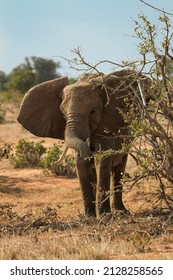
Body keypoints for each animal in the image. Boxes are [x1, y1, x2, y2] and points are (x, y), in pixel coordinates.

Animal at [17, 69, 149, 217]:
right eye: (62, 113)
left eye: (93, 111)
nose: (88, 150)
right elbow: (81, 164)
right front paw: (89, 217)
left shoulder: (107, 124)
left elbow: (102, 160)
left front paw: (104, 216)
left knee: (119, 168)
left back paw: (121, 212)